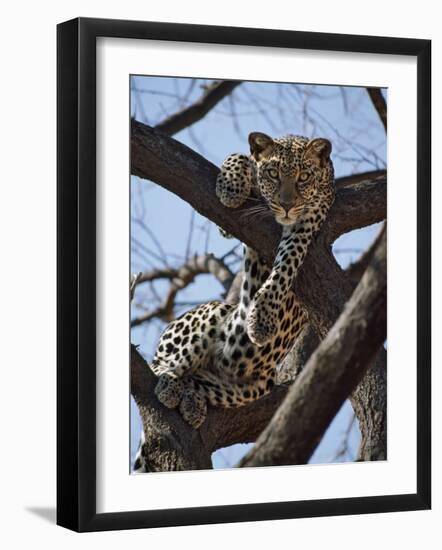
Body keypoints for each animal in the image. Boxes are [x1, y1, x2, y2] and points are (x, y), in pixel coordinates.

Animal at [133, 132, 334, 472]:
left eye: (304, 177)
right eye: (273, 174)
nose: (287, 205)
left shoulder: (308, 220)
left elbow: (286, 264)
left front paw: (262, 318)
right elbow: (239, 156)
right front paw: (231, 186)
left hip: (252, 385)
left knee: (200, 380)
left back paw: (189, 399)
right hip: (213, 313)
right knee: (160, 363)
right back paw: (170, 382)